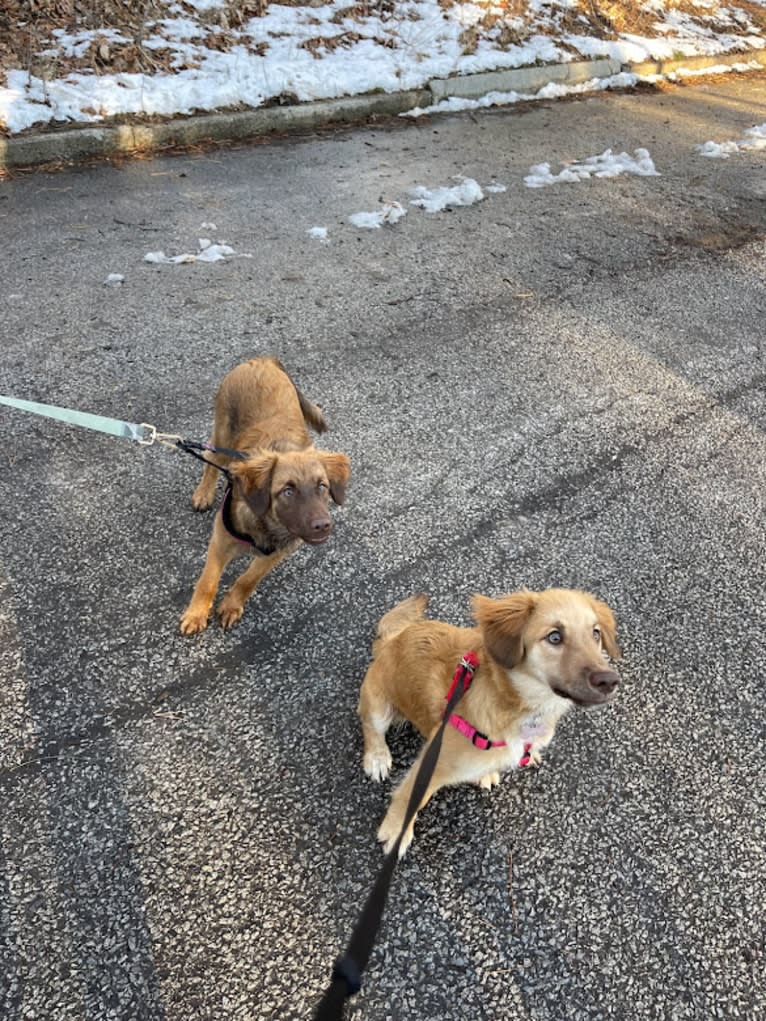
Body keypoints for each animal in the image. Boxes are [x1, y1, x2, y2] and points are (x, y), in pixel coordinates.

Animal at [179, 355, 351, 633]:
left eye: (322, 486)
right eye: (287, 491)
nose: (322, 526)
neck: (268, 524)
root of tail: (261, 360)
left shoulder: (281, 550)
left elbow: (249, 578)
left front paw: (231, 605)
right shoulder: (220, 538)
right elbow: (208, 581)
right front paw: (196, 614)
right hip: (224, 434)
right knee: (208, 457)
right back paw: (203, 493)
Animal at [361, 588, 625, 857]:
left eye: (595, 633)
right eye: (554, 637)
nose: (609, 681)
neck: (519, 703)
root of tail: (390, 641)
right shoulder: (433, 761)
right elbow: (409, 797)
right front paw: (396, 832)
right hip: (379, 706)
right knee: (371, 728)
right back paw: (378, 758)